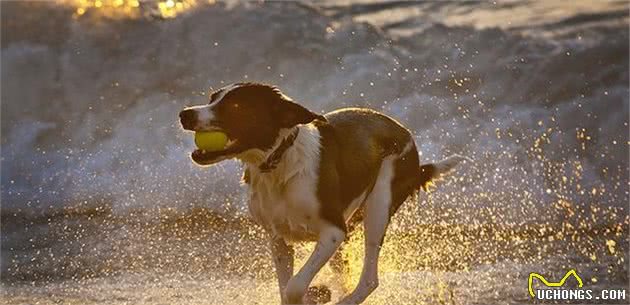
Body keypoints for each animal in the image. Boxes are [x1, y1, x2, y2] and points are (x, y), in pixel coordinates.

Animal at [180, 82, 466, 302]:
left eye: (235, 106)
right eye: (212, 98)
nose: (185, 114)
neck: (278, 162)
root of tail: (408, 137)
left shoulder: (333, 232)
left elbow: (294, 287)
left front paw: (316, 294)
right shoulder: (278, 237)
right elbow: (286, 288)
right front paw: (313, 294)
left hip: (381, 200)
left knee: (369, 279)